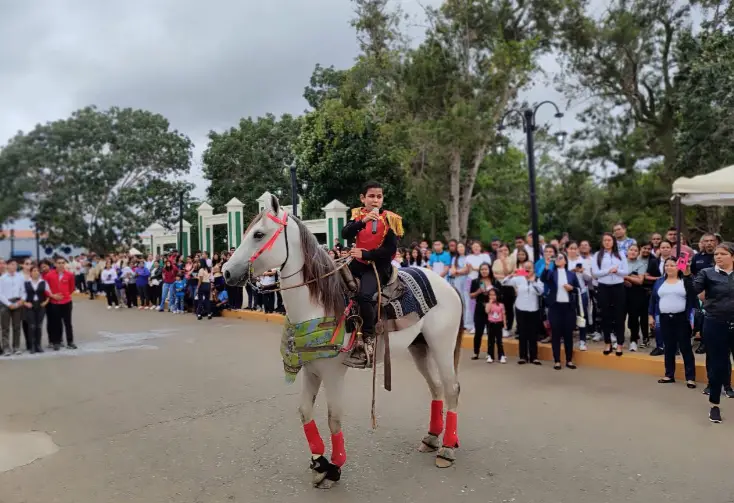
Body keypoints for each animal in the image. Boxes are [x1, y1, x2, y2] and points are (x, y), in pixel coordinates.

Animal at [224, 196, 466, 488]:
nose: (226, 272)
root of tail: (448, 285)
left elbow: (334, 418)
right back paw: (431, 438)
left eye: (258, 234)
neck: (317, 305)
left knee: (452, 389)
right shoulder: (311, 369)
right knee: (436, 387)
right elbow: (305, 411)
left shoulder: (333, 372)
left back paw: (447, 448)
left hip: (441, 345)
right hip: (419, 346)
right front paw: (319, 463)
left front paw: (335, 466)